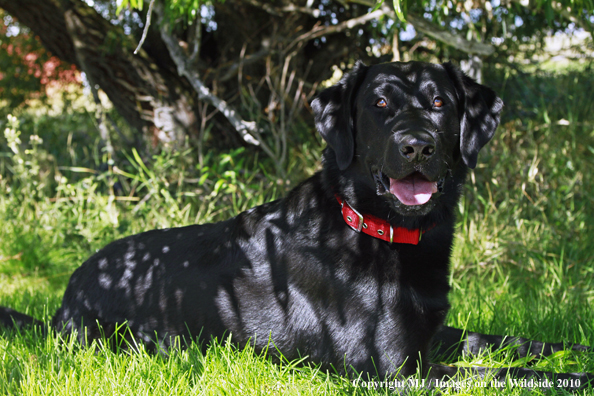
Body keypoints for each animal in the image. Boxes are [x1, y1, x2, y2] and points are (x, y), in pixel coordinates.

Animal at [2, 60, 588, 392]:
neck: (380, 232)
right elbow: (510, 374)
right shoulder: (397, 371)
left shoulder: (432, 335)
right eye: (380, 103)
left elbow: (511, 343)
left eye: (441, 102)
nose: (416, 145)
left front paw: (576, 349)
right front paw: (578, 376)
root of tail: (61, 306)